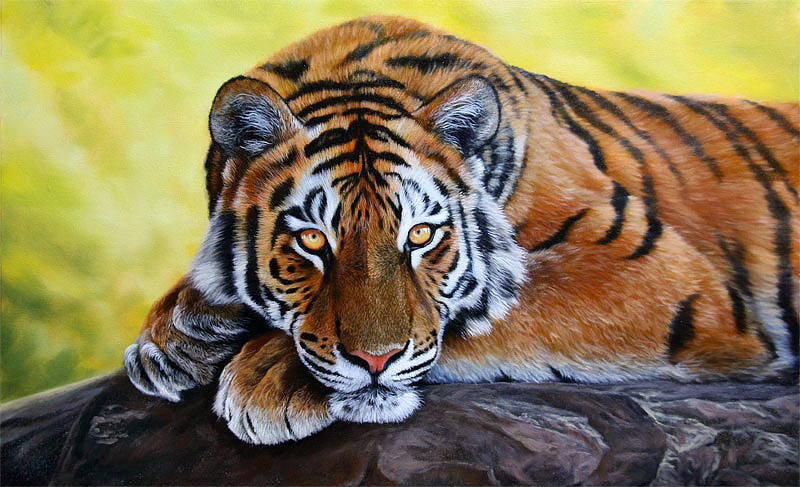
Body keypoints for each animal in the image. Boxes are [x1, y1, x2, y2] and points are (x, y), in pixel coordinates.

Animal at [124, 16, 799, 445]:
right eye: (313, 240)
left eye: (422, 236)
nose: (375, 361)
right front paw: (174, 335)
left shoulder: (658, 276)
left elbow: (486, 314)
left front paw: (267, 378)